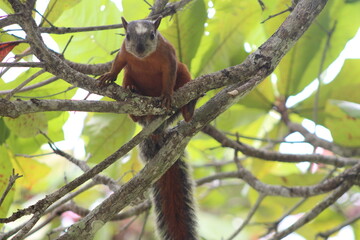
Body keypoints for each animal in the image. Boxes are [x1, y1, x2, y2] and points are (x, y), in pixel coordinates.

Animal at [97, 16, 197, 240]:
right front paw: (108, 75)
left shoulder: (169, 56)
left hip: (184, 72)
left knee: (183, 81)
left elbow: (169, 74)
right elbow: (119, 63)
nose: (140, 48)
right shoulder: (124, 52)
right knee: (130, 92)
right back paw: (132, 93)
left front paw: (167, 95)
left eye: (153, 35)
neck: (144, 59)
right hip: (129, 79)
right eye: (127, 36)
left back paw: (188, 109)